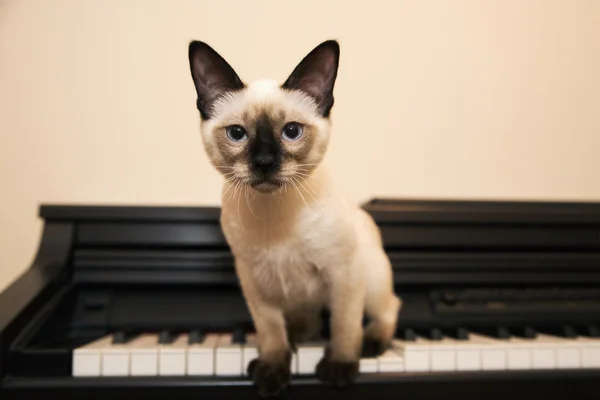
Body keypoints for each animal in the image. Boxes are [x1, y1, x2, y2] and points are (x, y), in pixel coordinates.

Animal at [190, 39, 400, 396]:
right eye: (237, 134)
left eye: (291, 131)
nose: (264, 162)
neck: (274, 213)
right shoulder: (255, 282)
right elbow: (271, 331)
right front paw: (272, 371)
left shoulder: (342, 273)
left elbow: (344, 325)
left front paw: (339, 368)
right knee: (309, 322)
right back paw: (297, 337)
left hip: (370, 279)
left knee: (388, 308)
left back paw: (371, 342)